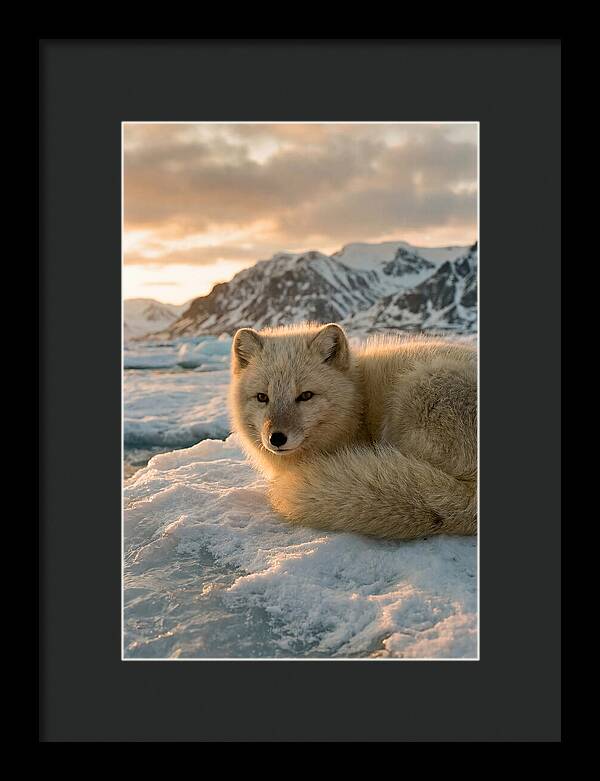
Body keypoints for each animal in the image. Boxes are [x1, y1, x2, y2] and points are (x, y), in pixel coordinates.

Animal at [229, 322, 477, 540]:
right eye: (262, 397)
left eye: (306, 395)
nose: (276, 438)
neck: (358, 402)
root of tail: (471, 499)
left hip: (415, 392)